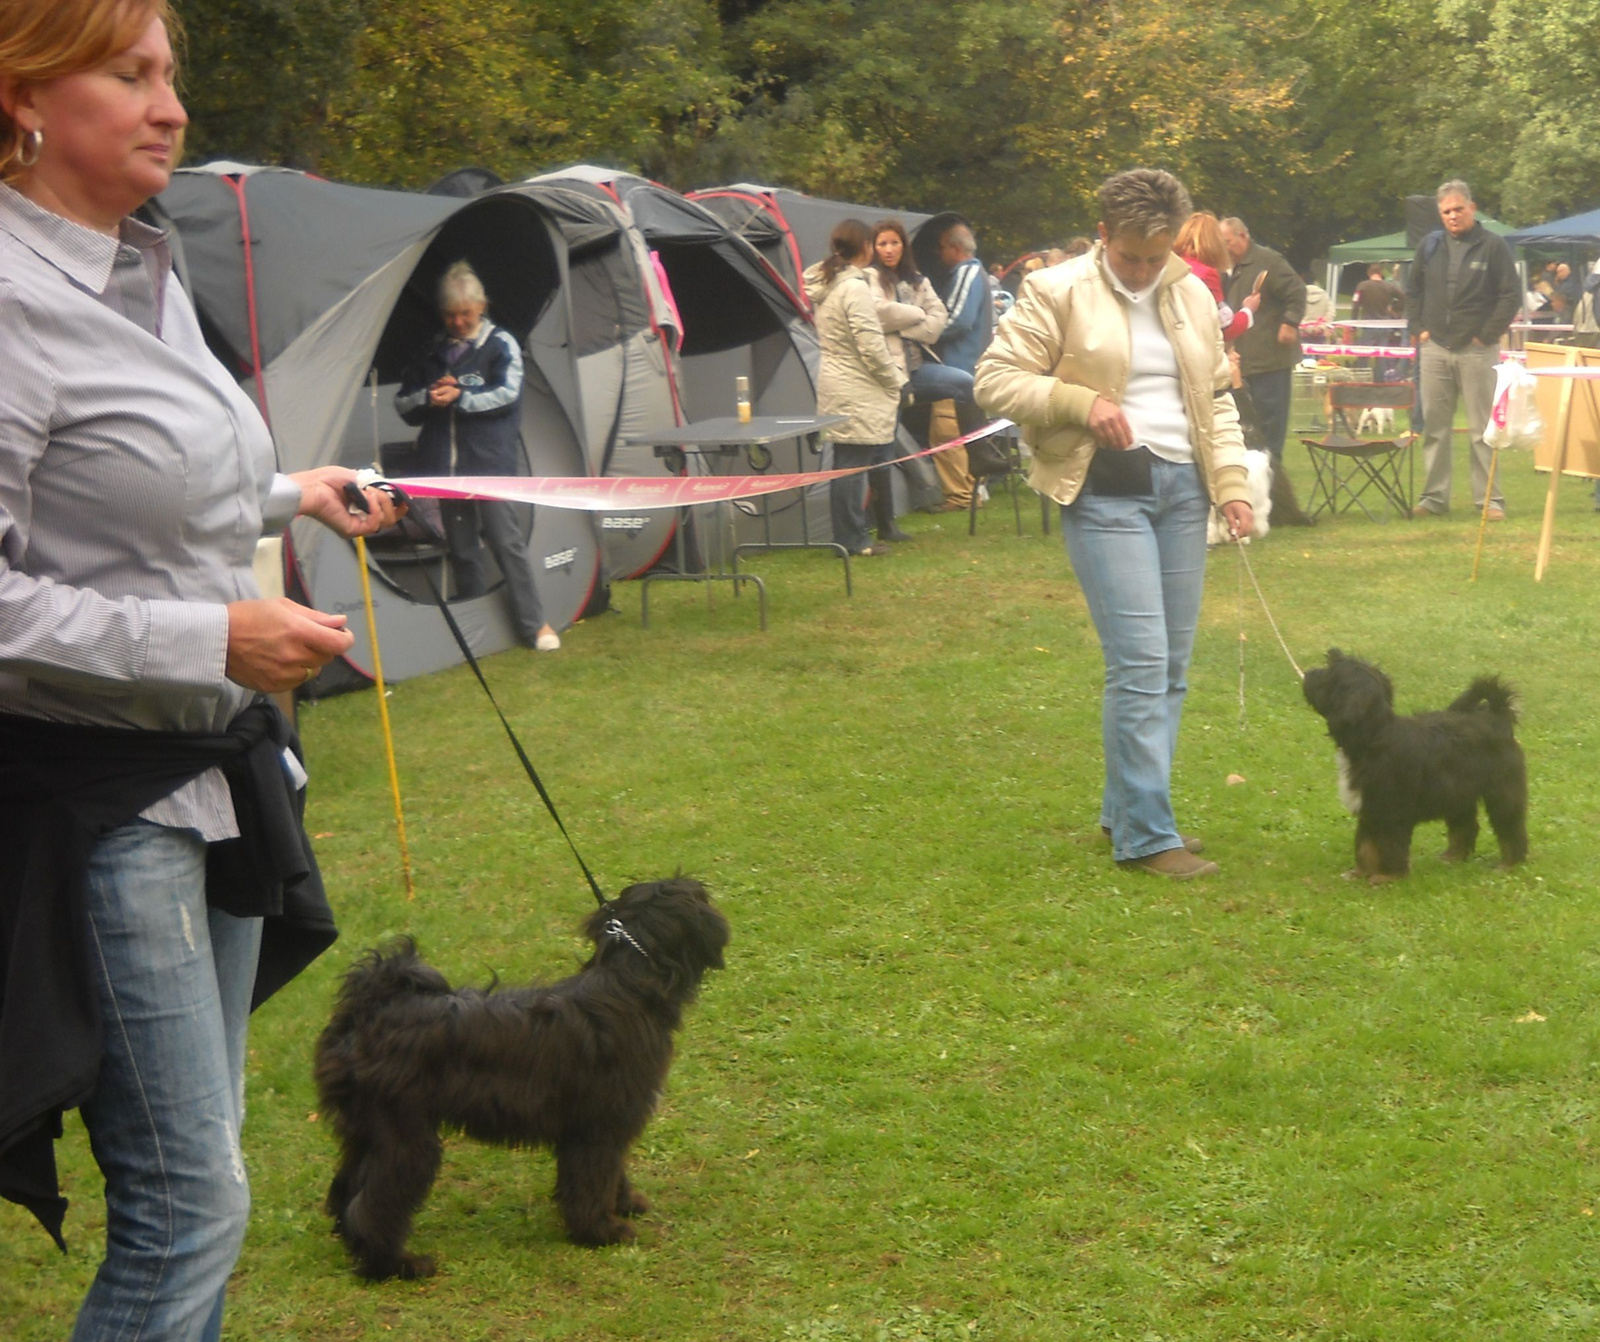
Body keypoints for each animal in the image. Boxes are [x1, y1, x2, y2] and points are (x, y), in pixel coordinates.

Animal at [307, 876, 732, 1286]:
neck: (631, 986)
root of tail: (366, 1011)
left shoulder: (601, 1125)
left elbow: (611, 1172)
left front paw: (624, 1204)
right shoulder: (599, 1125)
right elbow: (594, 1179)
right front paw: (602, 1231)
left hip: (366, 1131)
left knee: (347, 1189)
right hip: (405, 1137)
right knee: (373, 1206)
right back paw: (396, 1266)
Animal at [1299, 649, 1523, 882]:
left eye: (1329, 675)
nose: (1309, 673)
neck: (1374, 737)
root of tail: (1497, 716)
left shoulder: (1391, 812)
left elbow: (1389, 845)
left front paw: (1387, 876)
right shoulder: (1370, 810)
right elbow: (1366, 845)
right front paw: (1360, 873)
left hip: (1502, 792)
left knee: (1510, 827)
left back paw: (1509, 863)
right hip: (1459, 793)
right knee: (1465, 826)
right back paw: (1453, 857)